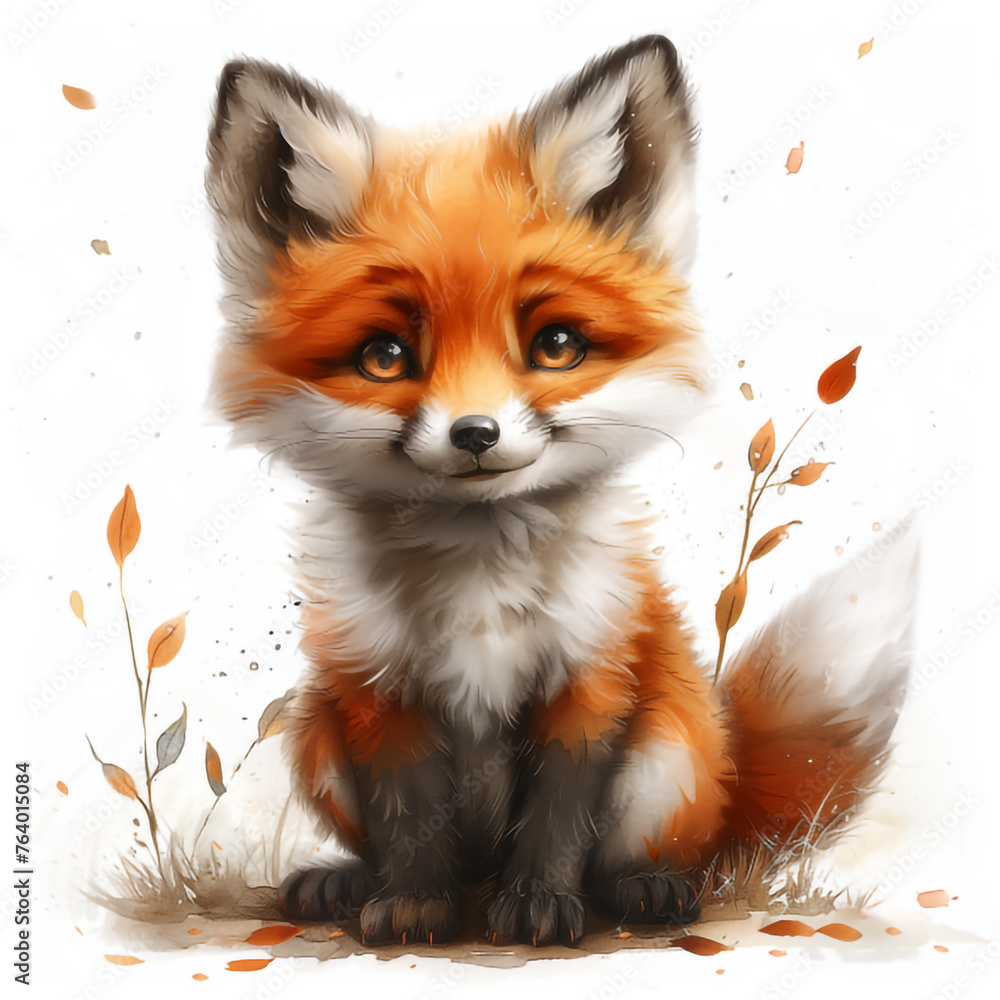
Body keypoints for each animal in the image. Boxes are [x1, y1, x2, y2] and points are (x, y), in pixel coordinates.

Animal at [204, 36, 915, 947]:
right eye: (385, 357)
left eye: (556, 345)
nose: (475, 434)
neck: (478, 585)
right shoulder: (377, 691)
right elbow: (410, 818)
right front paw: (414, 902)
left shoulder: (591, 676)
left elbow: (557, 817)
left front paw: (540, 901)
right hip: (314, 733)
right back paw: (348, 882)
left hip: (666, 756)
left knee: (663, 858)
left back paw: (645, 889)